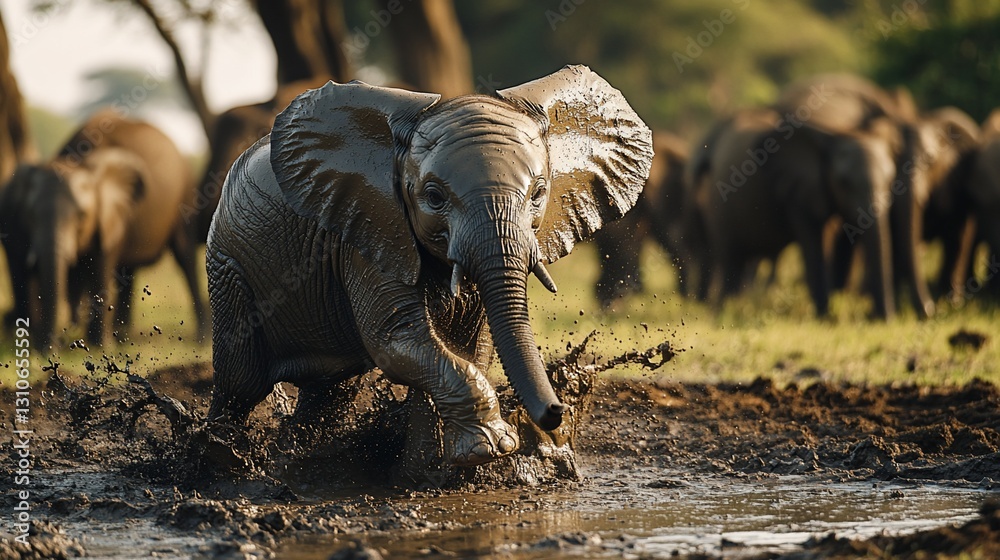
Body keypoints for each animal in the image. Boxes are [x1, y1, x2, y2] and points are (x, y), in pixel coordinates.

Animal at [0, 112, 208, 348]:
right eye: (30, 216)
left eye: (81, 216)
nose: (48, 348)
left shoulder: (110, 218)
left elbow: (100, 267)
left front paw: (100, 346)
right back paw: (122, 334)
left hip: (187, 195)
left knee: (185, 257)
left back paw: (200, 340)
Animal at [206, 66, 653, 466]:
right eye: (434, 197)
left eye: (540, 193)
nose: (557, 412)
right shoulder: (369, 229)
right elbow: (397, 339)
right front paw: (490, 449)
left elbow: (466, 346)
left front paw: (431, 472)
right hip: (227, 267)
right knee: (240, 382)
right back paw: (219, 459)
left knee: (331, 391)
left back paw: (294, 458)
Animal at [689, 107, 898, 318]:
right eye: (843, 182)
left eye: (890, 180)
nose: (886, 319)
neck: (836, 133)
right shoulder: (800, 193)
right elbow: (816, 245)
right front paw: (826, 318)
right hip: (718, 206)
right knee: (732, 260)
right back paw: (725, 310)